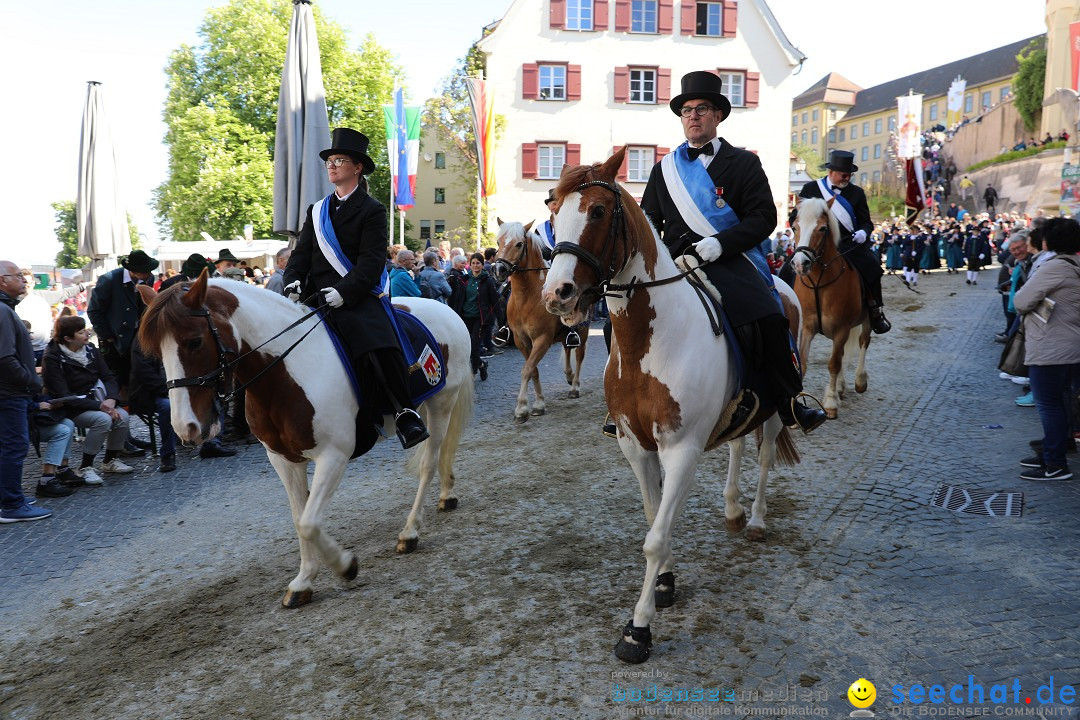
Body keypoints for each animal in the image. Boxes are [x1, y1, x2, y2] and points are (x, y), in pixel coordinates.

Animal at [135, 269, 473, 608]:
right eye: (156, 353)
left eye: (194, 341)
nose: (186, 429)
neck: (285, 374)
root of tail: (445, 309)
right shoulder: (283, 460)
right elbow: (300, 518)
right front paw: (304, 581)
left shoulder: (333, 456)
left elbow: (309, 523)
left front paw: (345, 566)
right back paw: (446, 495)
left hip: (441, 403)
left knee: (428, 463)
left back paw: (410, 532)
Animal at [492, 220, 587, 423]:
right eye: (498, 242)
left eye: (519, 244)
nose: (499, 270)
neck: (527, 296)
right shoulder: (521, 340)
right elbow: (533, 369)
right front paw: (538, 403)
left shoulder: (542, 339)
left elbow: (527, 369)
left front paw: (522, 408)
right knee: (567, 348)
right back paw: (569, 375)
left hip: (583, 329)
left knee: (579, 354)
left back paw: (575, 386)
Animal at [540, 147, 803, 664]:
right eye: (552, 214)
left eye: (597, 212)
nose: (556, 295)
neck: (652, 340)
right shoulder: (635, 446)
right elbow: (652, 516)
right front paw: (664, 584)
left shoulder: (681, 450)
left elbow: (655, 537)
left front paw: (638, 629)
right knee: (738, 447)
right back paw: (733, 509)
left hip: (776, 407)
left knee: (764, 455)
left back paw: (756, 519)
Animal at [790, 199, 872, 418]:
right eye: (795, 227)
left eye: (822, 228)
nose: (800, 264)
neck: (819, 283)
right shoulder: (808, 328)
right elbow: (803, 363)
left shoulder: (841, 328)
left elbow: (833, 363)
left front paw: (830, 403)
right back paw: (840, 388)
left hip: (867, 319)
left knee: (863, 341)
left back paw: (860, 380)